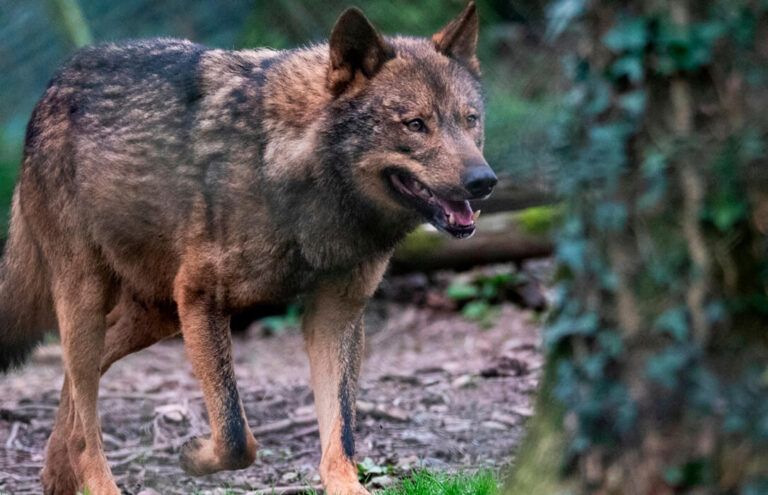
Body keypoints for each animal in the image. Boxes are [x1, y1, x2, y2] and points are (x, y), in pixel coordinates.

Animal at [0, 2, 496, 493]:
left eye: (470, 120)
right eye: (416, 125)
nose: (484, 181)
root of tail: (56, 81)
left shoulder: (336, 314)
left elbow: (341, 434)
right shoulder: (202, 300)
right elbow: (237, 436)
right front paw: (194, 455)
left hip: (156, 315)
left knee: (72, 386)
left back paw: (55, 473)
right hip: (92, 299)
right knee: (85, 419)